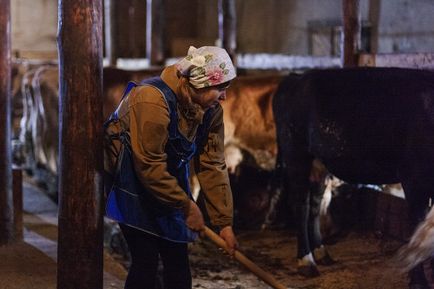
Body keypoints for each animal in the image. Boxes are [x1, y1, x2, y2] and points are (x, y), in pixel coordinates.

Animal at [274, 67, 434, 286]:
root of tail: (295, 77)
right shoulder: (413, 177)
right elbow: (416, 226)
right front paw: (418, 281)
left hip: (319, 163)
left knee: (315, 204)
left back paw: (322, 253)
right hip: (296, 154)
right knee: (301, 205)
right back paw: (306, 261)